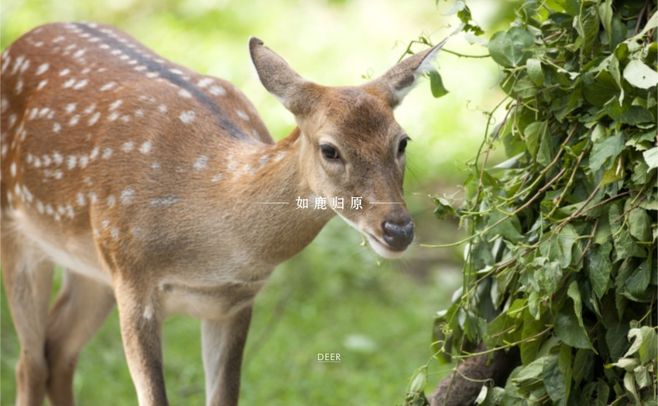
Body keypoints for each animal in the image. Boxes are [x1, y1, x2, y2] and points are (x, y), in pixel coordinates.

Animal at [0, 22, 449, 406]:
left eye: (402, 141)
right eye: (330, 149)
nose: (397, 229)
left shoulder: (234, 300)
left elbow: (223, 396)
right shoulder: (132, 279)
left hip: (90, 265)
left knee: (58, 349)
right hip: (23, 233)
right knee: (29, 364)